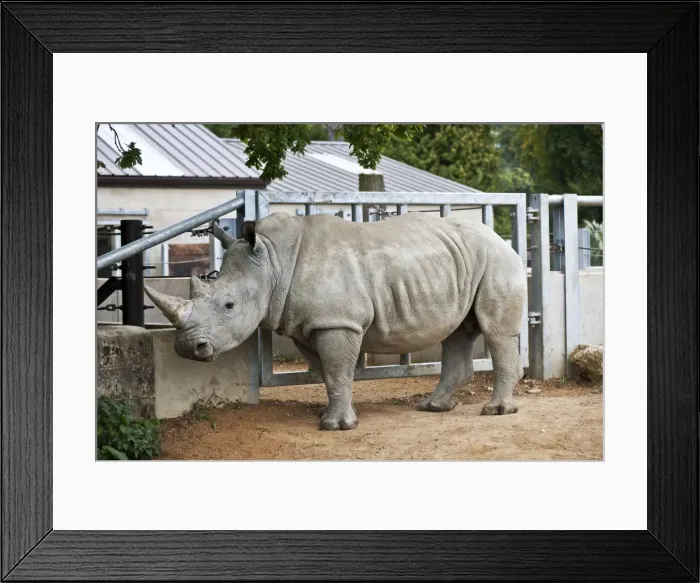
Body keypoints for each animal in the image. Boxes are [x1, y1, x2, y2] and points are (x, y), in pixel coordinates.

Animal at [145, 211, 527, 431]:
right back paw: (433, 408)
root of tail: (500, 237)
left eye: (228, 305)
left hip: (497, 259)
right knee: (458, 332)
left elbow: (337, 369)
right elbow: (328, 372)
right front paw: (335, 417)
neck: (272, 261)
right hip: (461, 261)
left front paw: (337, 427)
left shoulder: (337, 321)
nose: (187, 348)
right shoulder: (307, 324)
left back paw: (497, 412)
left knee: (495, 330)